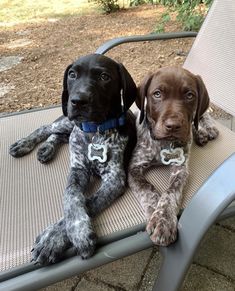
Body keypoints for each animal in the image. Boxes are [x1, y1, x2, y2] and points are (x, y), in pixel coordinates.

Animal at [129, 67, 218, 248]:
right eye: (157, 94)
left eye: (189, 95)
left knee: (199, 117)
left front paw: (163, 220)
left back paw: (205, 130)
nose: (173, 126)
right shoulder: (134, 168)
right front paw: (154, 210)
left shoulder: (180, 169)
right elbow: (147, 189)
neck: (164, 143)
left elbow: (170, 193)